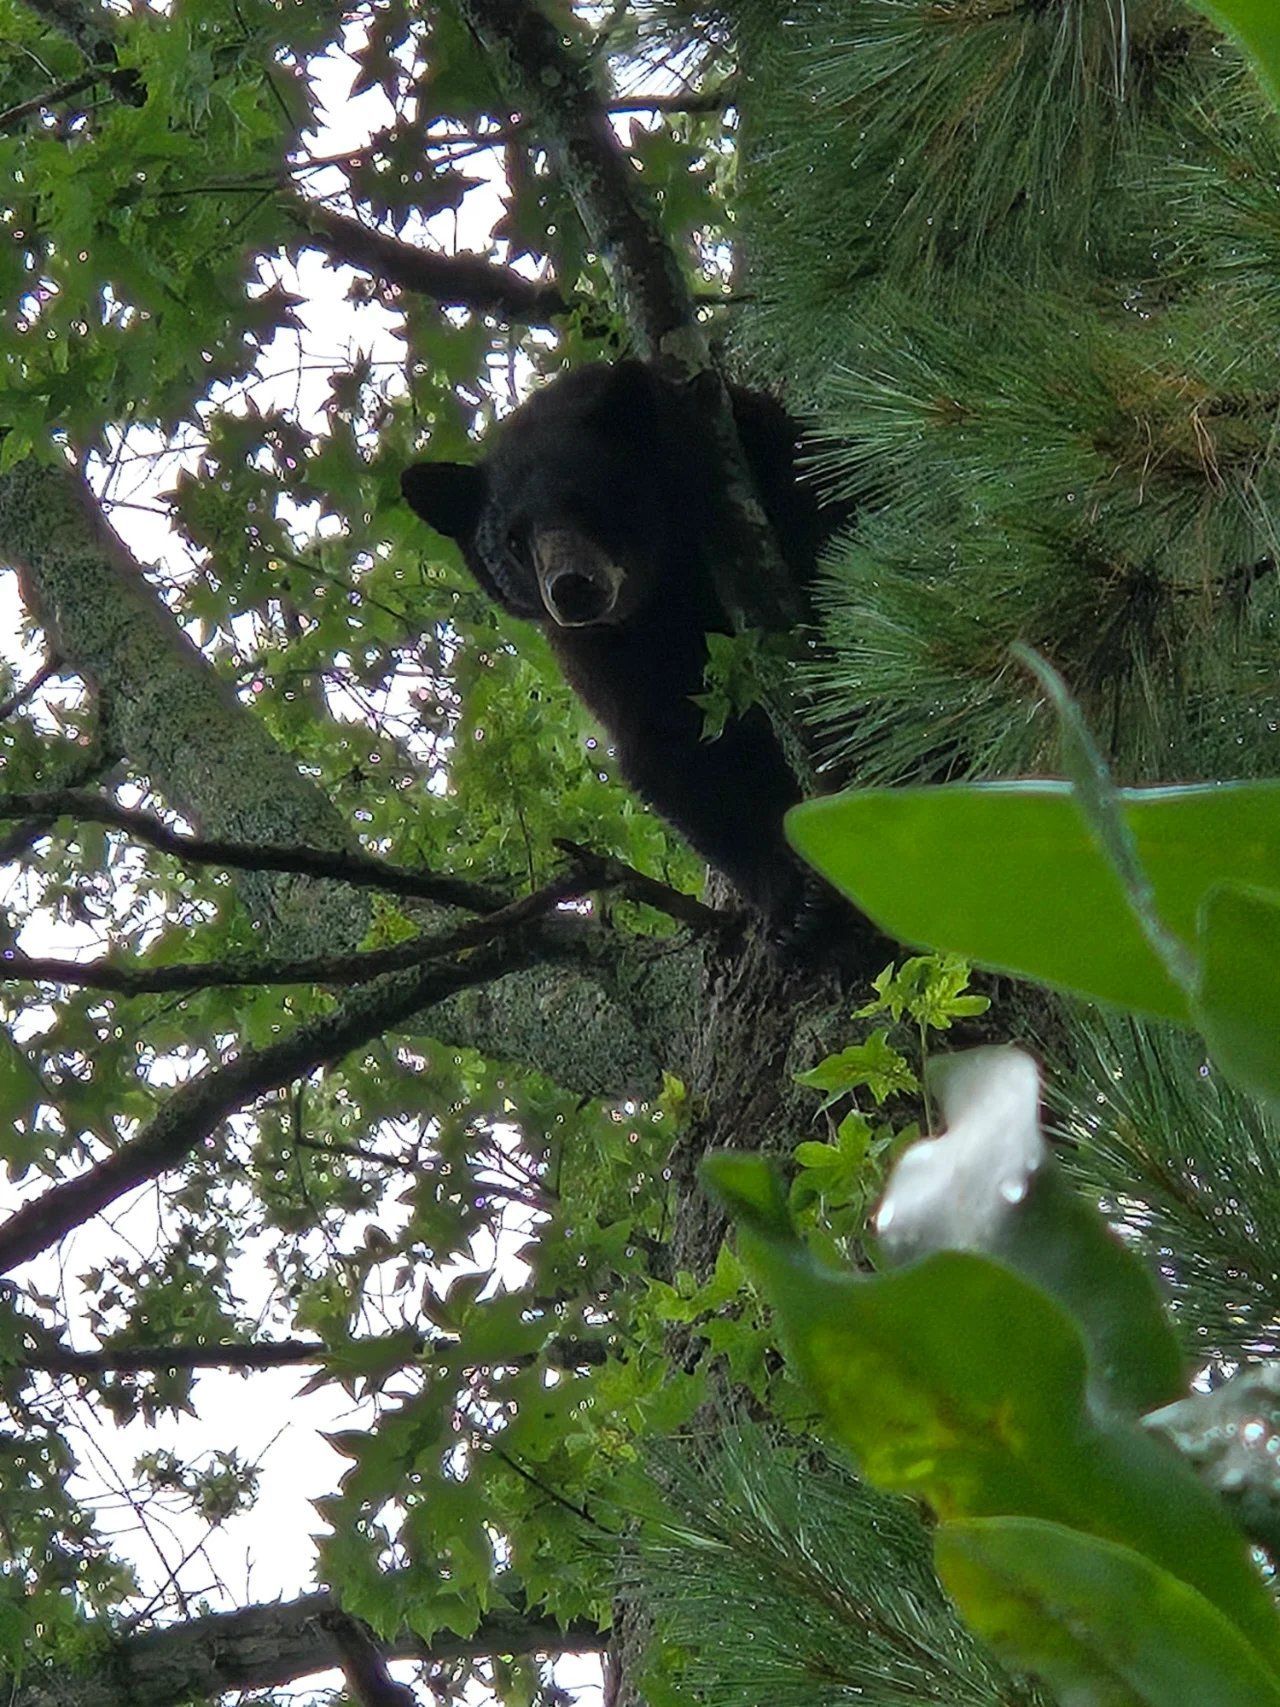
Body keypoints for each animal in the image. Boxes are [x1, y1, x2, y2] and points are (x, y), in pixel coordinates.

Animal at [400, 360, 828, 931]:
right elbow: (676, 748)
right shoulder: (611, 656)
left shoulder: (774, 458)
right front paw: (787, 897)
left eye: (587, 500)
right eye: (513, 539)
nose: (570, 587)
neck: (668, 583)